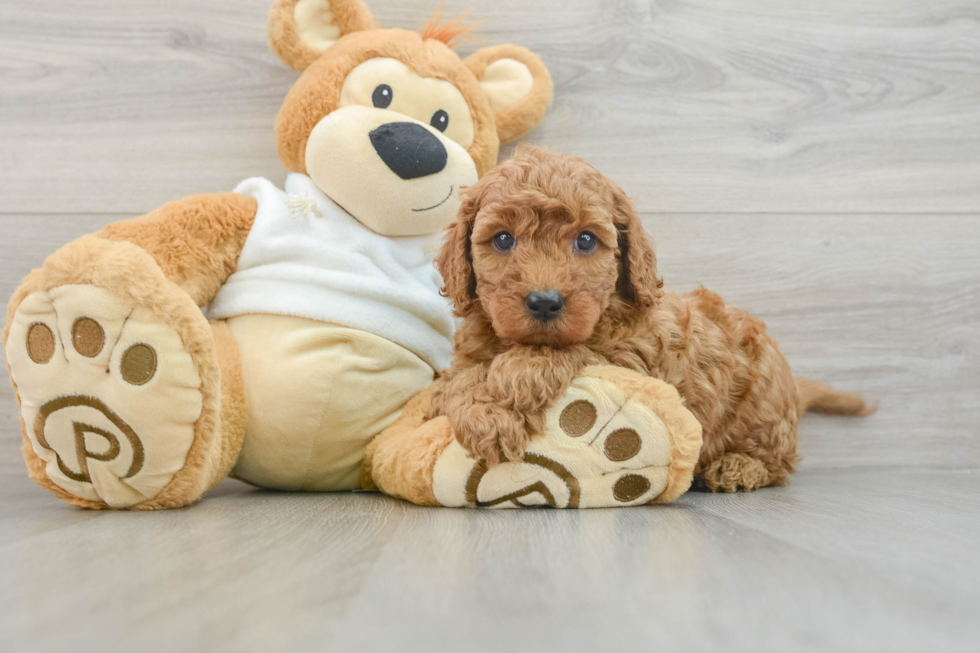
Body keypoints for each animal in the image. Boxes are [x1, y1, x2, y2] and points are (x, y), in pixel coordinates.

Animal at [424, 144, 868, 488]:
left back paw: (738, 467)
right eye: (503, 239)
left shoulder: (636, 362)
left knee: (780, 463)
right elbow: (457, 380)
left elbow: (574, 351)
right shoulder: (469, 354)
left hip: (763, 407)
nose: (545, 302)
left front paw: (516, 377)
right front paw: (483, 413)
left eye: (586, 240)